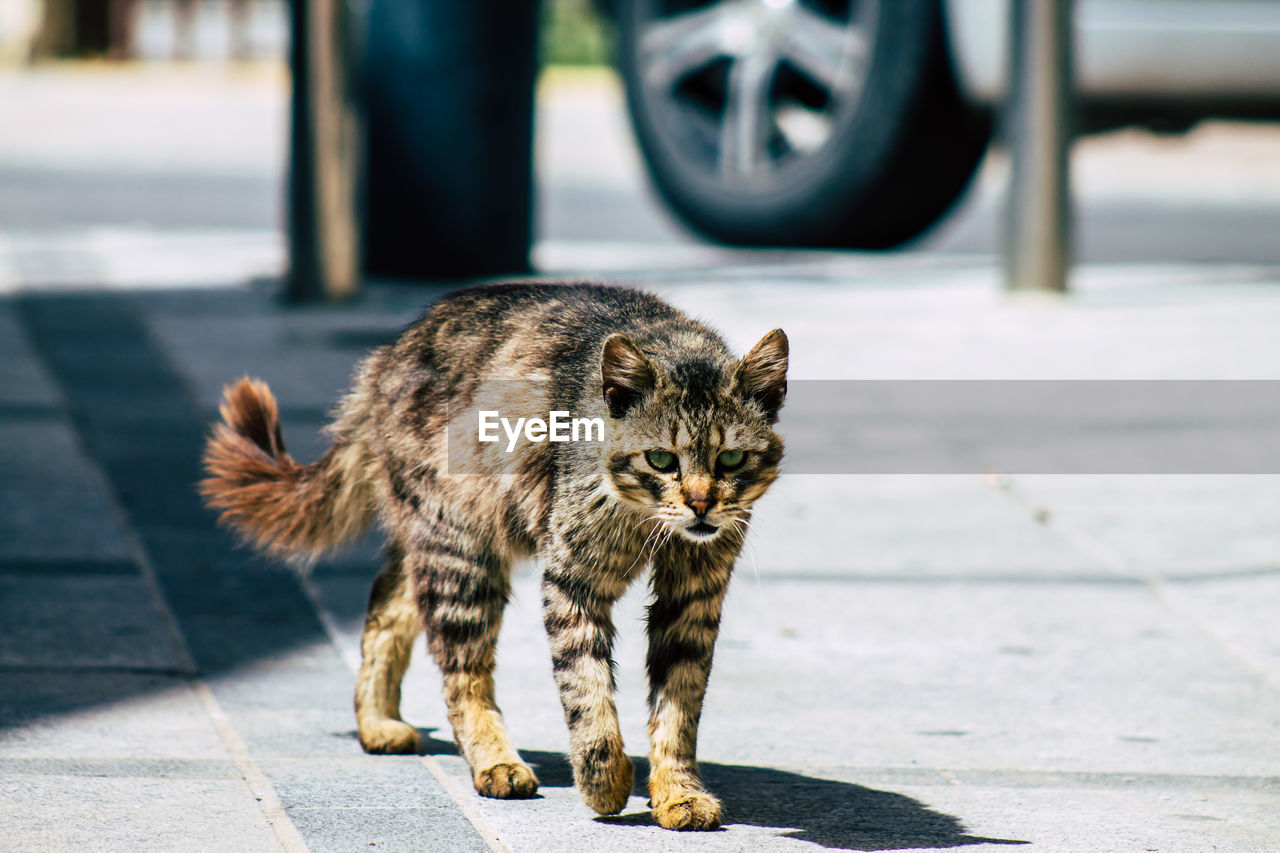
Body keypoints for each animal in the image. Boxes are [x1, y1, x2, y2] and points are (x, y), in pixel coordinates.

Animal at [197, 281, 788, 824]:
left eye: (731, 458)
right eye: (662, 459)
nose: (701, 505)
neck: (647, 521)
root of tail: (386, 358)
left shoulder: (692, 597)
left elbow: (677, 707)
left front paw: (678, 792)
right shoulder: (572, 580)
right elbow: (587, 690)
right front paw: (604, 781)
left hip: (444, 545)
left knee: (387, 606)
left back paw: (377, 723)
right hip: (462, 555)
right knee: (463, 674)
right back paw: (495, 763)